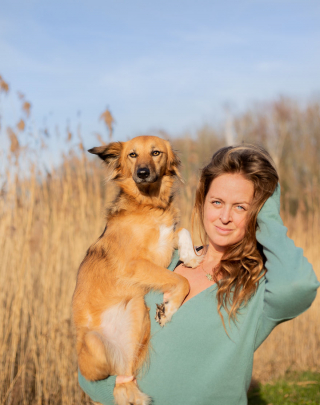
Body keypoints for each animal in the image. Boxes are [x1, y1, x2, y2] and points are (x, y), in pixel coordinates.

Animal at [73, 136, 202, 404]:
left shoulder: (164, 244)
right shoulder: (135, 264)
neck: (149, 204)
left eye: (156, 153)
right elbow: (180, 281)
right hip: (93, 346)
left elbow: (183, 231)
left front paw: (191, 257)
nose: (142, 173)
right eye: (132, 155)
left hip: (137, 311)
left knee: (125, 377)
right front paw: (170, 308)